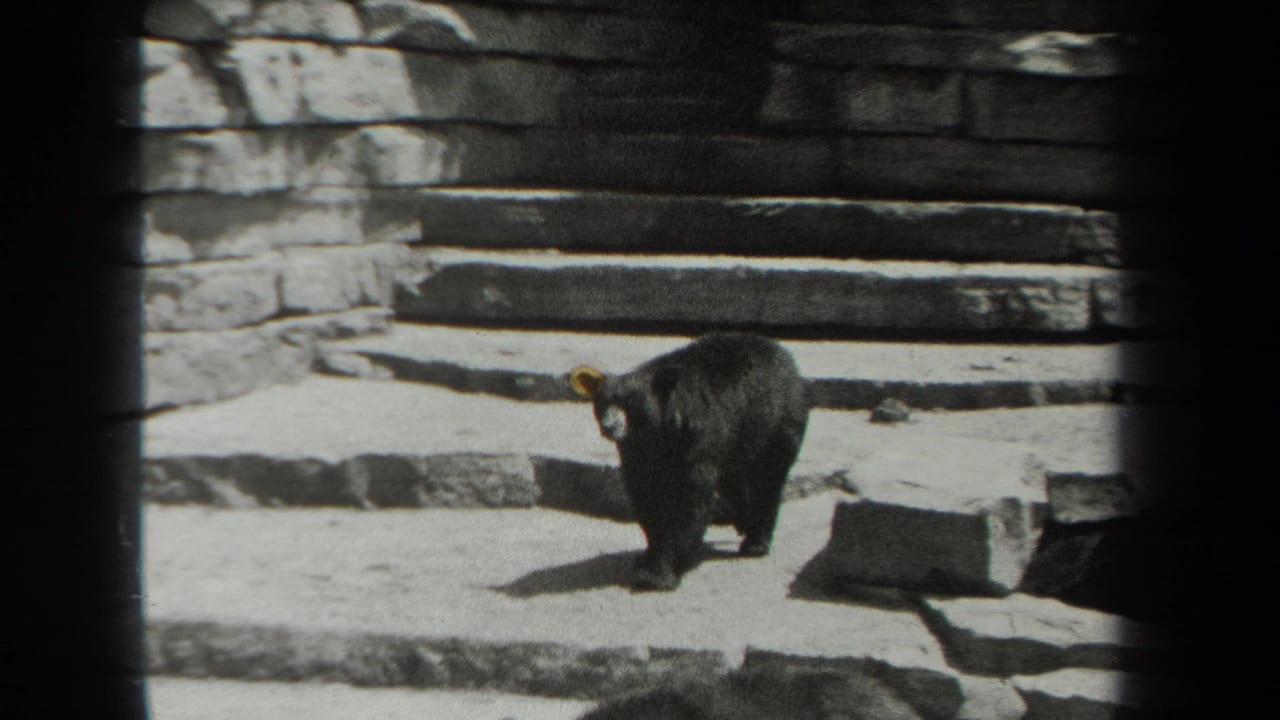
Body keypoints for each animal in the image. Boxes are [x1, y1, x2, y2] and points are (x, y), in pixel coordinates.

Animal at [568, 332, 810, 591]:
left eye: (631, 405)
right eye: (602, 404)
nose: (610, 426)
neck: (659, 432)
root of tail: (782, 352)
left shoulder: (697, 438)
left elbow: (689, 497)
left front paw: (662, 572)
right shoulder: (638, 452)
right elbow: (646, 495)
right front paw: (649, 559)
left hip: (777, 422)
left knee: (768, 478)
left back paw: (756, 542)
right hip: (740, 441)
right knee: (735, 479)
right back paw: (743, 522)